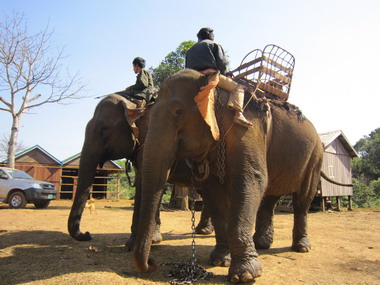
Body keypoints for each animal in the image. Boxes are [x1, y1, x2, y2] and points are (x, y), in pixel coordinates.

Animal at [132, 69, 326, 282]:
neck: (214, 87)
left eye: (178, 112)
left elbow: (251, 180)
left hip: (315, 157)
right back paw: (261, 244)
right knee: (270, 198)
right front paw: (220, 260)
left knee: (302, 200)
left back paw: (301, 247)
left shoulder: (247, 129)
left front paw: (245, 276)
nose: (152, 263)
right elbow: (214, 193)